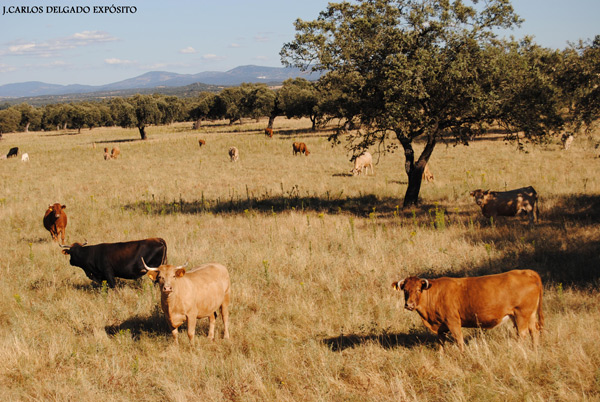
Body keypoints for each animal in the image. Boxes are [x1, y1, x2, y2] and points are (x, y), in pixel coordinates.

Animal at [392, 270, 548, 352]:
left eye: (419, 289)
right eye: (405, 290)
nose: (409, 304)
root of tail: (527, 272)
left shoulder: (453, 321)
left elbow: (459, 340)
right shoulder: (441, 326)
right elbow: (441, 342)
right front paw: (441, 355)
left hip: (522, 314)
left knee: (522, 333)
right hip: (529, 315)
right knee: (534, 331)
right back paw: (535, 349)